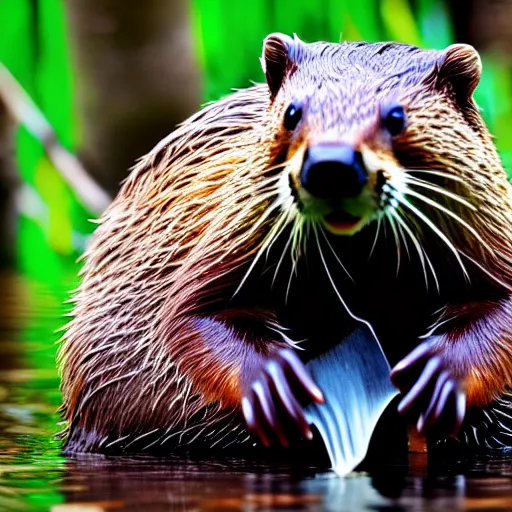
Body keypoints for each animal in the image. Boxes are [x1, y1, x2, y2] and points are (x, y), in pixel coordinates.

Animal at [58, 33, 512, 456]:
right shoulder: (225, 233)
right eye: (293, 112)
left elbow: (501, 308)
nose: (332, 165)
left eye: (396, 115)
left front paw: (436, 378)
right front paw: (277, 386)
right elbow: (190, 314)